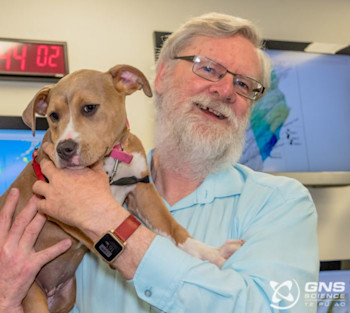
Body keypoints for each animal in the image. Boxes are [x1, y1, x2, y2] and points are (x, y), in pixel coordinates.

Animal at [0, 64, 243, 312]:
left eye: (89, 108)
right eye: (53, 116)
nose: (64, 149)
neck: (112, 159)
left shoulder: (142, 191)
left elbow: (173, 229)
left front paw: (211, 253)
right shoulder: (59, 210)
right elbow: (94, 237)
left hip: (66, 297)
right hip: (33, 297)